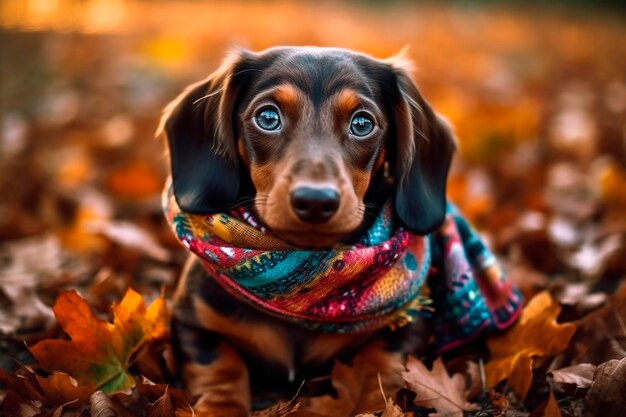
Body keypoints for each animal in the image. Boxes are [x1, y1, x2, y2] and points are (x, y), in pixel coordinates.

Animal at [158, 47, 456, 414]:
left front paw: (373, 404)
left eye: (362, 123)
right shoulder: (192, 320)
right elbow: (220, 365)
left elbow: (382, 363)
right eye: (267, 117)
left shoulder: (410, 324)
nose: (315, 200)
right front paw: (221, 407)